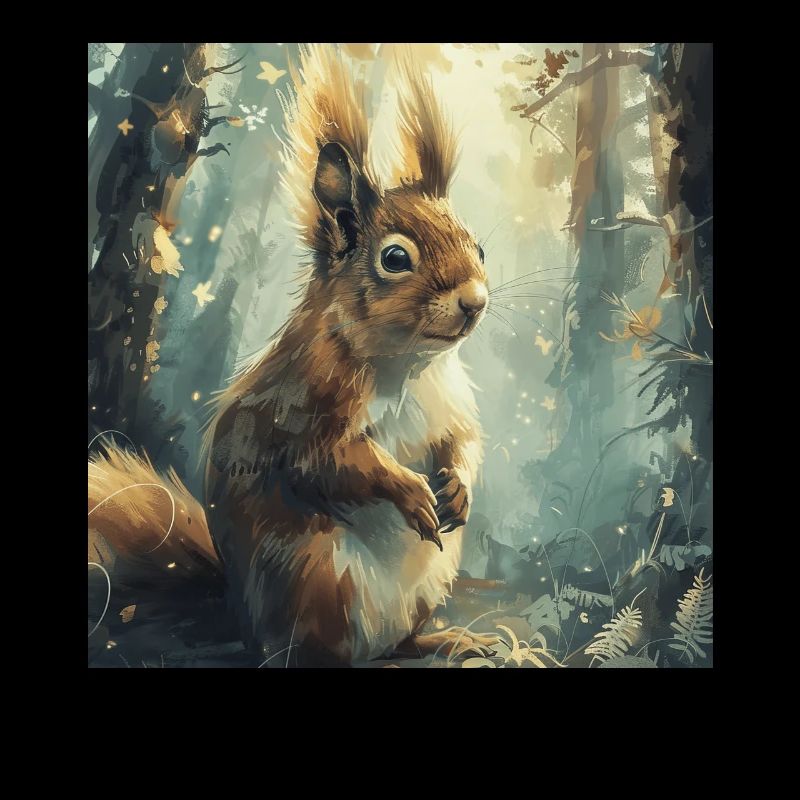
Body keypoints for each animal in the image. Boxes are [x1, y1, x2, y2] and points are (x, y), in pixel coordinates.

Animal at [88, 45, 496, 666]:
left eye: (478, 246)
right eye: (395, 258)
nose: (474, 302)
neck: (408, 363)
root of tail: (243, 618)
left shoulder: (451, 406)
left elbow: (464, 443)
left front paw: (458, 489)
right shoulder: (304, 403)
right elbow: (331, 461)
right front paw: (411, 491)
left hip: (425, 583)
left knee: (398, 644)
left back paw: (449, 638)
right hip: (320, 577)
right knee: (313, 653)